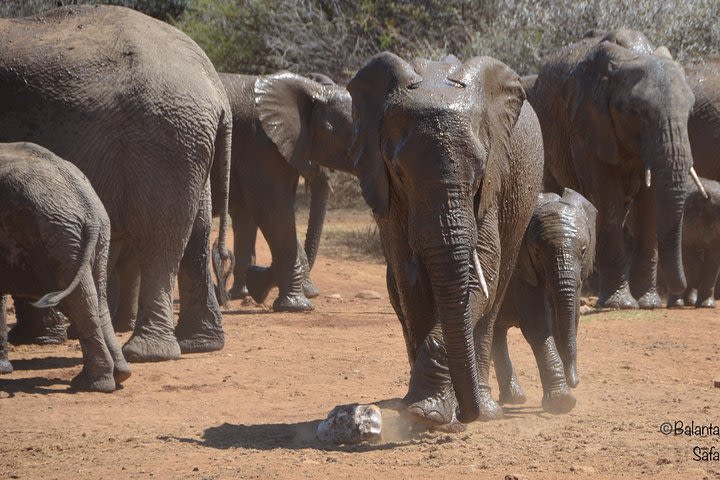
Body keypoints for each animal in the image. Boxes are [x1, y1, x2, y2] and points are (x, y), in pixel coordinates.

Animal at [0, 5, 232, 362]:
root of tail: (214, 85)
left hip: (163, 137)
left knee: (158, 236)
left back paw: (146, 352)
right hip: (190, 139)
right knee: (197, 231)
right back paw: (199, 344)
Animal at [0, 142, 131, 390]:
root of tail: (86, 204)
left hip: (55, 235)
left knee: (75, 299)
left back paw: (91, 384)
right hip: (91, 234)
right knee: (97, 297)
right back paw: (120, 375)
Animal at [348, 54, 540, 430]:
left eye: (479, 171)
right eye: (399, 172)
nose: (465, 415)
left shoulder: (492, 182)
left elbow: (484, 270)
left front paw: (431, 413)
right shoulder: (390, 197)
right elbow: (411, 285)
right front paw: (424, 411)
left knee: (495, 295)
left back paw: (486, 409)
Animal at [496, 189, 596, 414]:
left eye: (583, 251)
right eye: (537, 252)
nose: (575, 381)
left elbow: (570, 319)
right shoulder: (520, 268)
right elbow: (537, 324)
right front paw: (562, 402)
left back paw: (514, 399)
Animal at [532, 29, 700, 308]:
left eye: (690, 112)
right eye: (636, 111)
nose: (680, 291)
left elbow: (649, 206)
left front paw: (648, 304)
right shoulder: (588, 126)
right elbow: (605, 198)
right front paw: (620, 304)